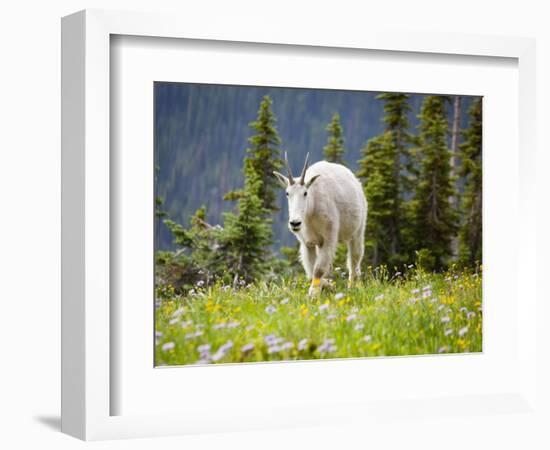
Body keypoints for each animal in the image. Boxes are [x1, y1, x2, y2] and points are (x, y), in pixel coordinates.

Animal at [274, 153, 368, 298]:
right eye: (287, 193)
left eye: (305, 193)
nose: (295, 223)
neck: (310, 211)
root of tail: (355, 181)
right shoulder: (307, 243)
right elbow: (311, 270)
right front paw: (328, 286)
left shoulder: (329, 237)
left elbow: (318, 269)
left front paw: (313, 294)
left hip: (357, 231)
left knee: (354, 260)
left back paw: (353, 287)